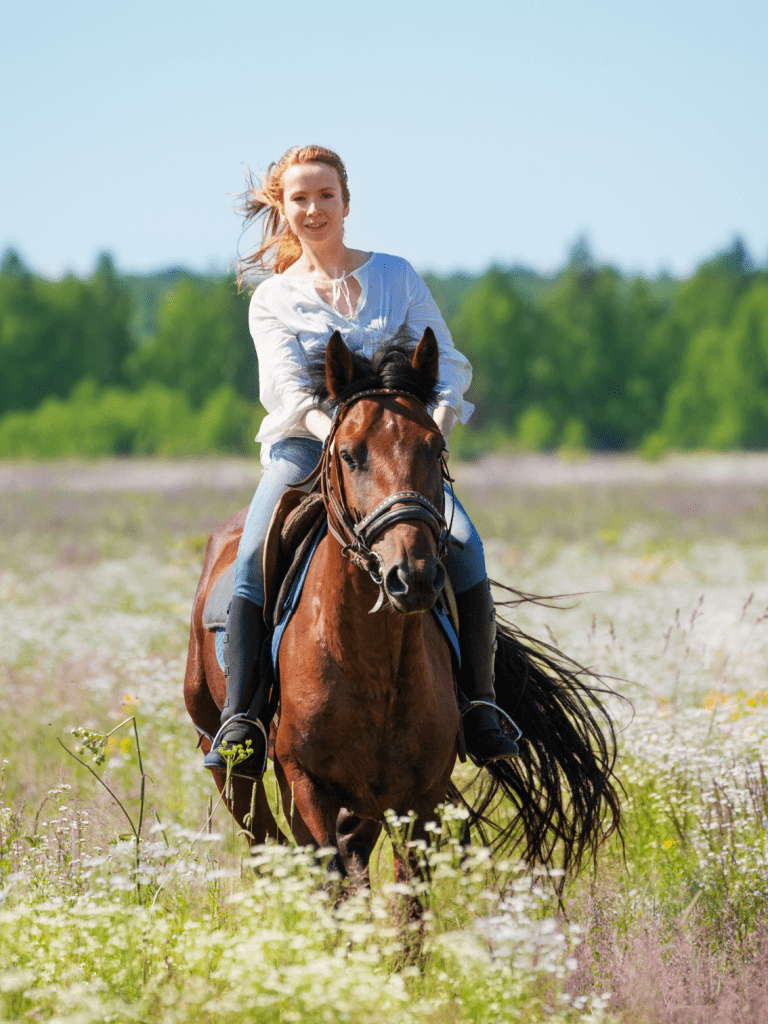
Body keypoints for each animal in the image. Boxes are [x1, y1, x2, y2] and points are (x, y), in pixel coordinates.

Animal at [184, 327, 622, 896]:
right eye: (350, 455)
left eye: (436, 449)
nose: (410, 575)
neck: (370, 663)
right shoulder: (305, 784)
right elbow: (329, 879)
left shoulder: (419, 796)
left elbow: (404, 899)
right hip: (228, 765)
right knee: (268, 842)